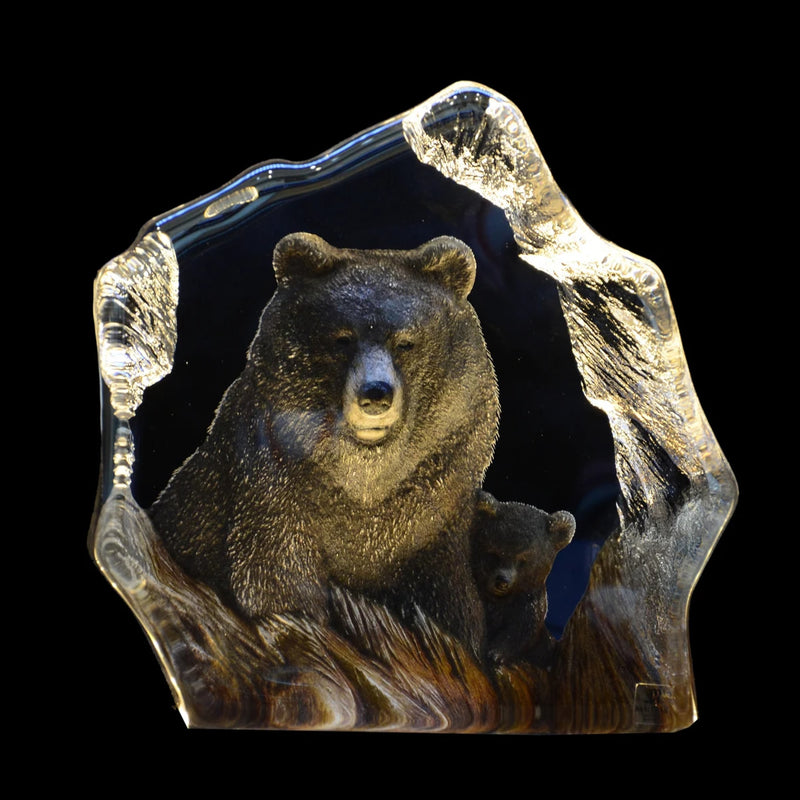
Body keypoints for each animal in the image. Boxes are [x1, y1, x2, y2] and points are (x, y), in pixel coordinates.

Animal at [149, 232, 500, 658]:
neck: (365, 481)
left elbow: (451, 606)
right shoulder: (271, 488)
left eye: (406, 342)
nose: (376, 394)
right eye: (343, 339)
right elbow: (278, 584)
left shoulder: (436, 517)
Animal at [471, 491, 575, 666]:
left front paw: (496, 653)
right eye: (495, 553)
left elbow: (521, 631)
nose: (502, 581)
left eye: (523, 560)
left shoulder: (528, 604)